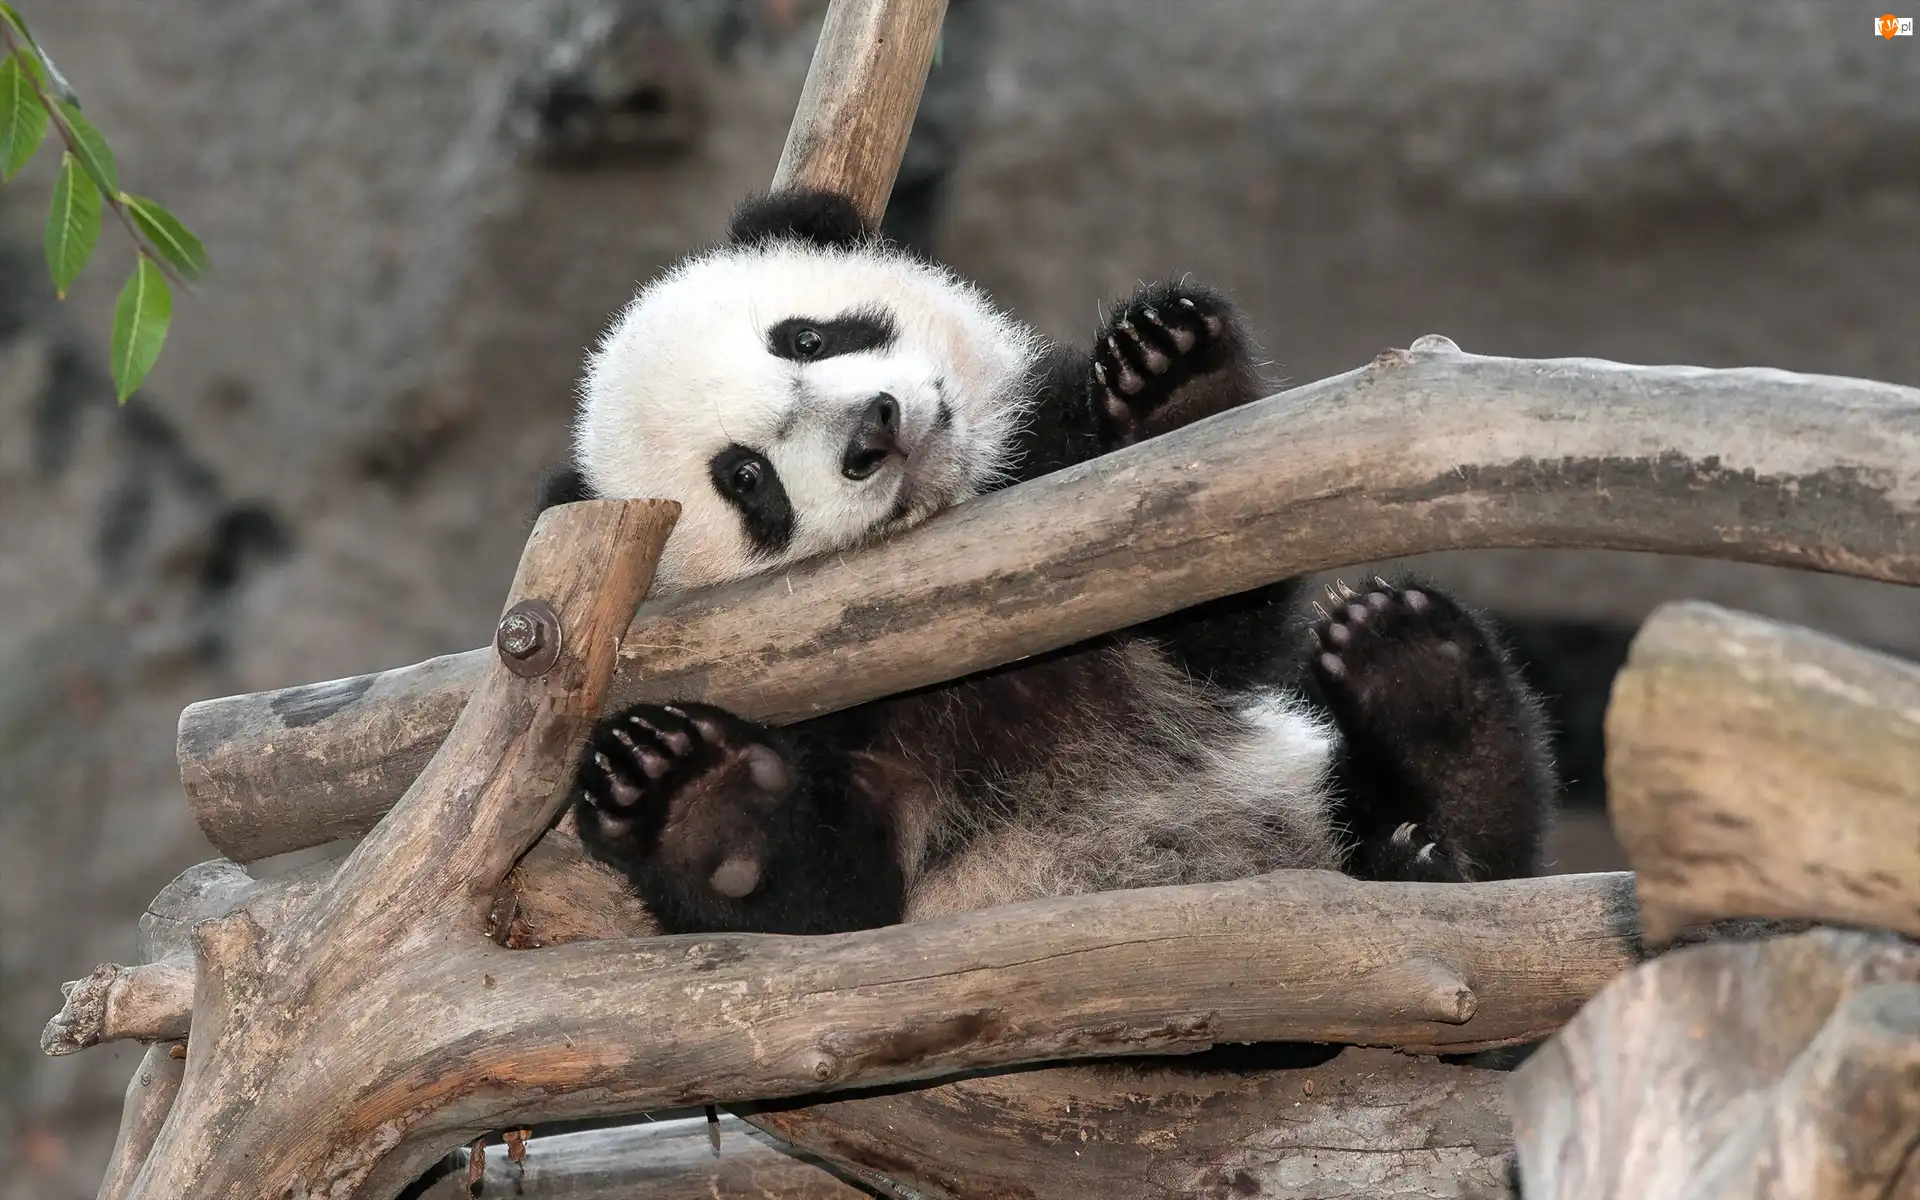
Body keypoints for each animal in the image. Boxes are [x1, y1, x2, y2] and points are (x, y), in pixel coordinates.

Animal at [537, 187, 1558, 936]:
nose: (875, 430)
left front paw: (1175, 390)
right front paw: (689, 792)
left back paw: (1425, 690)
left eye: (807, 337)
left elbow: (1213, 615)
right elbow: (828, 903)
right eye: (747, 479)